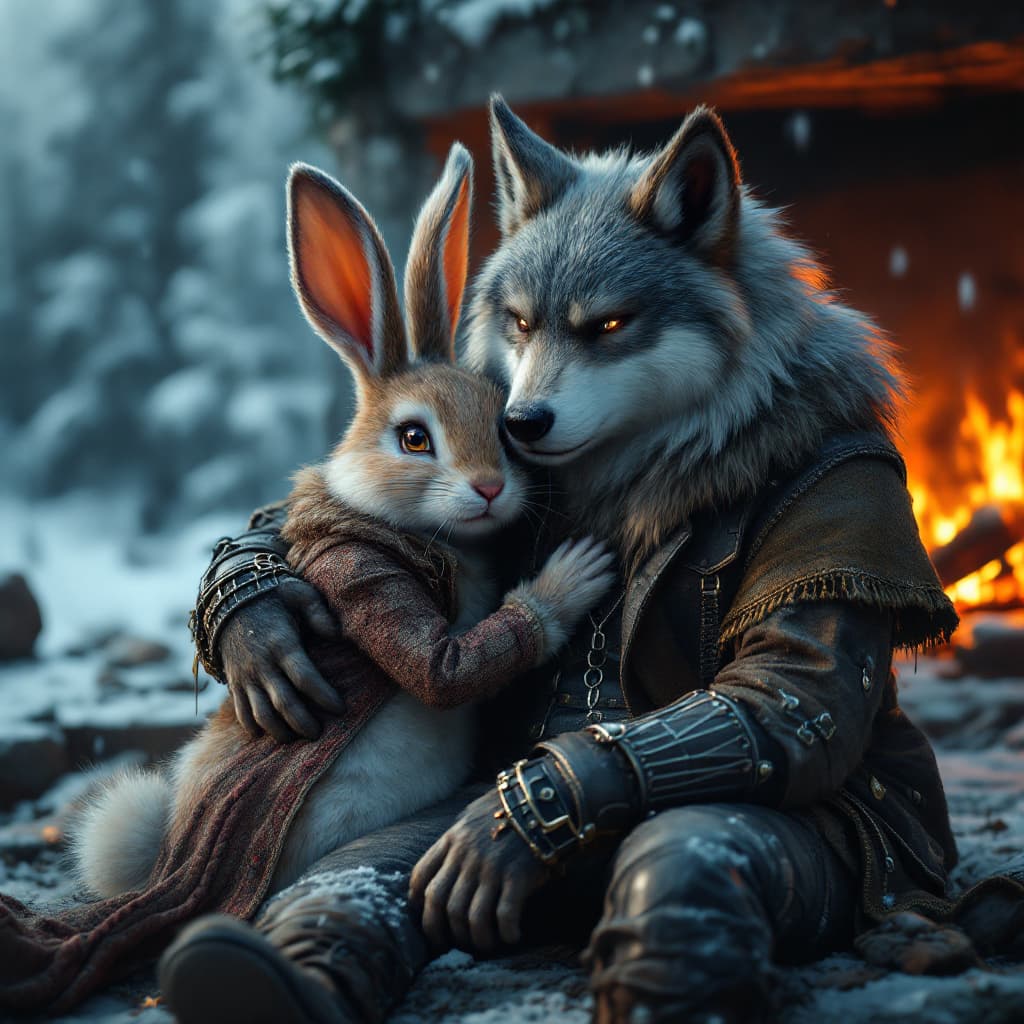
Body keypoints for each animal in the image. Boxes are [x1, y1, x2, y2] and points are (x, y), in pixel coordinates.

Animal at [71, 144, 615, 900]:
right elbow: (443, 666)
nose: (490, 487)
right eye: (414, 438)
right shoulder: (361, 573)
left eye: (504, 429)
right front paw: (574, 575)